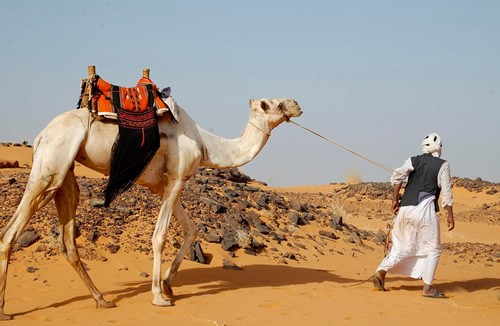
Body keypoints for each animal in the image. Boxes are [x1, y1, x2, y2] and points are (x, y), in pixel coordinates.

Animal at [0, 70, 302, 318]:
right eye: (271, 104)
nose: (297, 104)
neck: (206, 145)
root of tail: (41, 135)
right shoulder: (177, 179)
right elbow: (160, 236)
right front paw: (159, 297)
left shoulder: (164, 185)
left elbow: (191, 230)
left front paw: (167, 285)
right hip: (51, 165)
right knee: (10, 233)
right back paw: (5, 310)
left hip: (64, 174)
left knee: (68, 242)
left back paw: (102, 300)